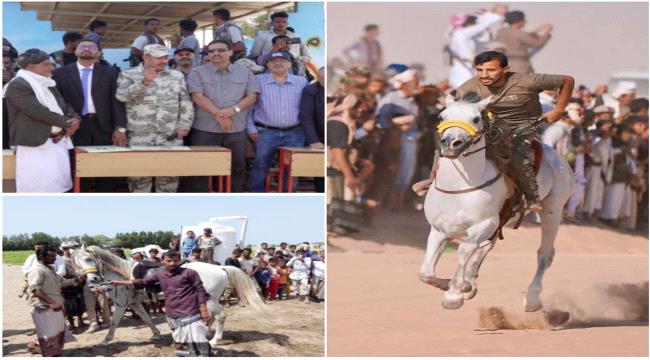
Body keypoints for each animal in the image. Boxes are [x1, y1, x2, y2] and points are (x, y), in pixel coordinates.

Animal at [75, 246, 266, 348]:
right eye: (77, 262)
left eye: (89, 258)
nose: (93, 281)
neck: (120, 274)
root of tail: (220, 268)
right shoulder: (134, 303)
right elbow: (146, 318)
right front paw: (157, 334)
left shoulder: (122, 304)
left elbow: (114, 322)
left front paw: (105, 341)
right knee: (211, 317)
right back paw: (203, 333)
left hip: (210, 300)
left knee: (220, 316)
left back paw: (214, 341)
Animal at [418, 97, 568, 312]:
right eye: (441, 116)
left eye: (475, 119)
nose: (451, 144)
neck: (459, 187)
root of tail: (557, 157)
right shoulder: (439, 229)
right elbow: (425, 273)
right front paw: (455, 285)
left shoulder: (485, 224)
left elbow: (464, 249)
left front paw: (454, 293)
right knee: (486, 248)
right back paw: (470, 283)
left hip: (552, 211)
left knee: (544, 254)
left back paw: (532, 298)